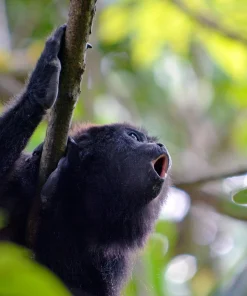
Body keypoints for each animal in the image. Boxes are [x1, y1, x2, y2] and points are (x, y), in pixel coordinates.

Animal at [0, 24, 172, 296]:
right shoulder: (19, 180)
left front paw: (54, 198)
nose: (160, 145)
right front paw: (42, 83)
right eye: (134, 136)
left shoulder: (113, 262)